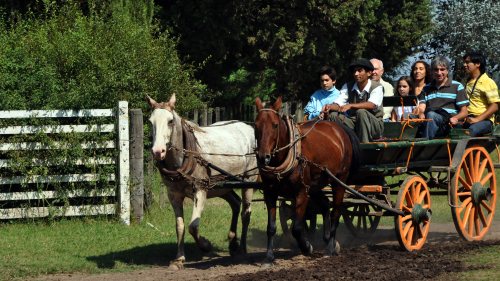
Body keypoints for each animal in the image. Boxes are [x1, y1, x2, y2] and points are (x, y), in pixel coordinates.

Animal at [144, 94, 254, 270]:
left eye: (170, 121)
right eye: (150, 121)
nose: (157, 151)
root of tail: (247, 127)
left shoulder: (200, 191)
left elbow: (193, 226)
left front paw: (206, 245)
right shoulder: (173, 195)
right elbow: (180, 226)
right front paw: (179, 259)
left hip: (248, 181)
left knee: (246, 213)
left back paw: (242, 249)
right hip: (221, 186)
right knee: (236, 203)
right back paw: (232, 244)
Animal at [256, 97, 362, 266]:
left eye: (275, 125)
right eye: (256, 125)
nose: (262, 157)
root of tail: (339, 128)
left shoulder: (301, 192)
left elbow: (297, 228)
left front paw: (307, 247)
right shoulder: (269, 193)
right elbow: (271, 227)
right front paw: (269, 258)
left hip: (339, 181)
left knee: (335, 213)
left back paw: (329, 249)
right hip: (315, 185)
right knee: (325, 205)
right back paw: (329, 241)